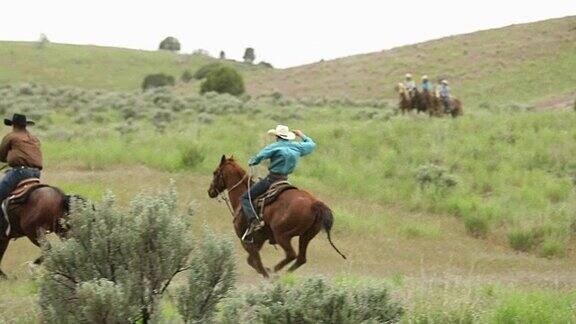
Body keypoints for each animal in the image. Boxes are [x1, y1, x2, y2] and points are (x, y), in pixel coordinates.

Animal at [210, 156, 346, 278]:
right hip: (305, 236)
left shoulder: (246, 240)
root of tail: (314, 204)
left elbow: (256, 261)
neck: (241, 196)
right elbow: (252, 261)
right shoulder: (259, 240)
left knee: (292, 255)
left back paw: (275, 271)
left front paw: (266, 274)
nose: (210, 191)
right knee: (301, 258)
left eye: (215, 172)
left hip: (282, 235)